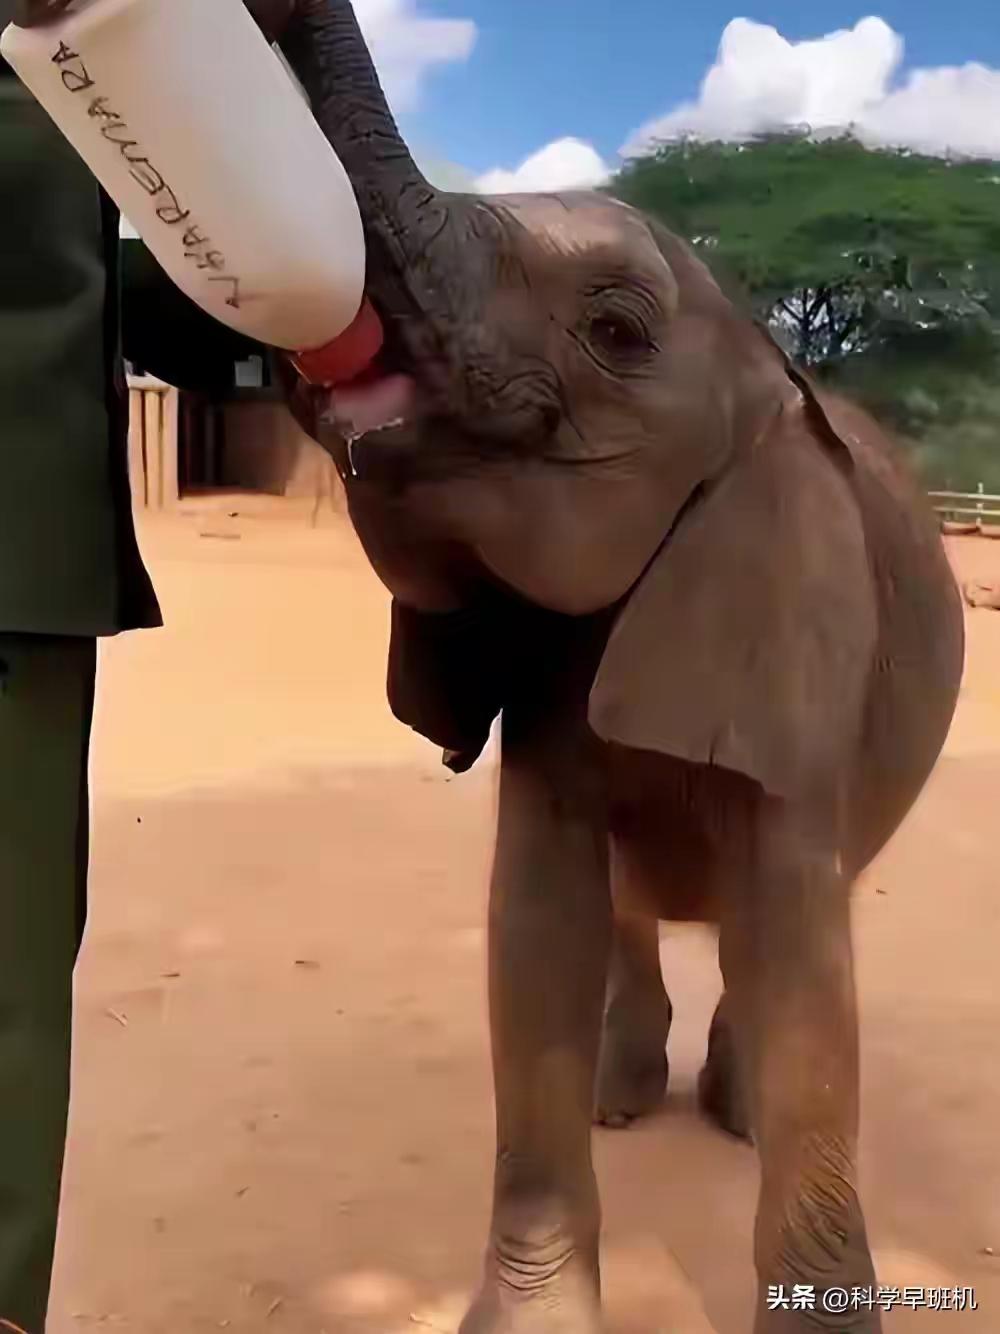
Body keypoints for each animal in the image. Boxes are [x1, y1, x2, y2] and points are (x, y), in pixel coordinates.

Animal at [269, 4, 967, 1330]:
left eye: (614, 333)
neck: (759, 371)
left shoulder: (799, 632)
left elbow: (803, 968)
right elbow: (537, 928)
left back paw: (730, 1113)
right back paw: (620, 1097)